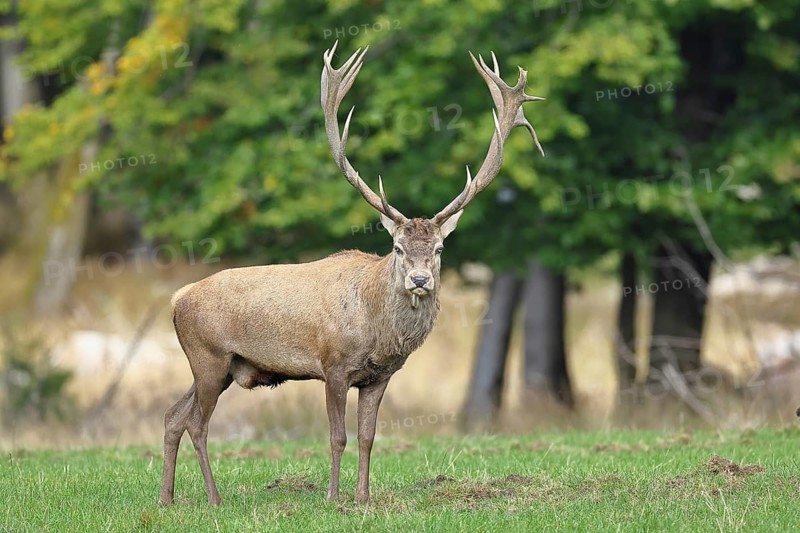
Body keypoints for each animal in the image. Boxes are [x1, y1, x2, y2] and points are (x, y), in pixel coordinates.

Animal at [158, 41, 544, 506]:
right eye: (397, 248)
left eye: (438, 249)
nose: (419, 280)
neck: (376, 329)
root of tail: (177, 299)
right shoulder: (334, 365)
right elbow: (337, 436)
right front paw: (332, 497)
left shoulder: (379, 376)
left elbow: (368, 437)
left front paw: (362, 497)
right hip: (209, 356)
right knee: (197, 422)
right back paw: (213, 499)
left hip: (224, 366)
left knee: (173, 415)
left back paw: (166, 498)